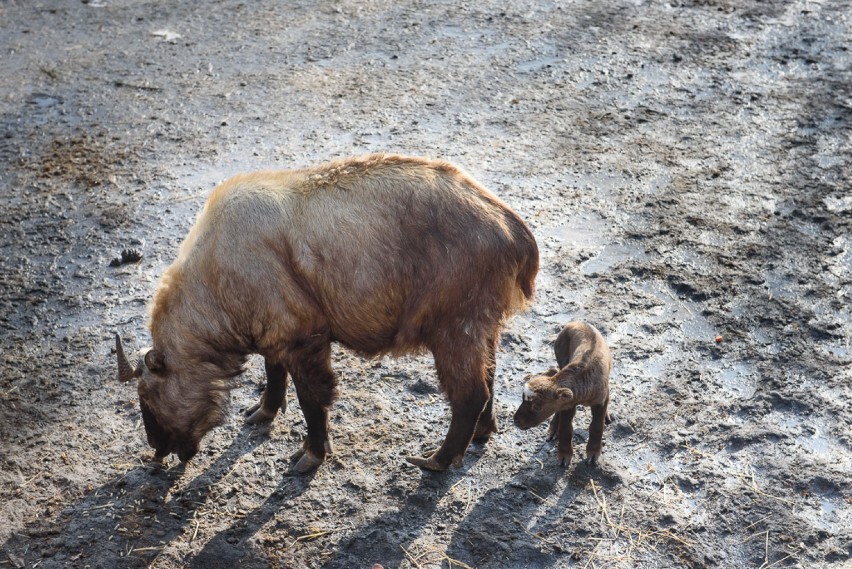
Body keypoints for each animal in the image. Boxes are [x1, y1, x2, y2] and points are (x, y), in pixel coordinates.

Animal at [512, 320, 612, 466]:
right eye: (522, 399)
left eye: (537, 406)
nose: (516, 421)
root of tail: (577, 322)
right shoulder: (567, 404)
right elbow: (566, 429)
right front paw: (564, 455)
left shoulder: (600, 400)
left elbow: (596, 426)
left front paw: (593, 453)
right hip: (560, 355)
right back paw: (553, 430)